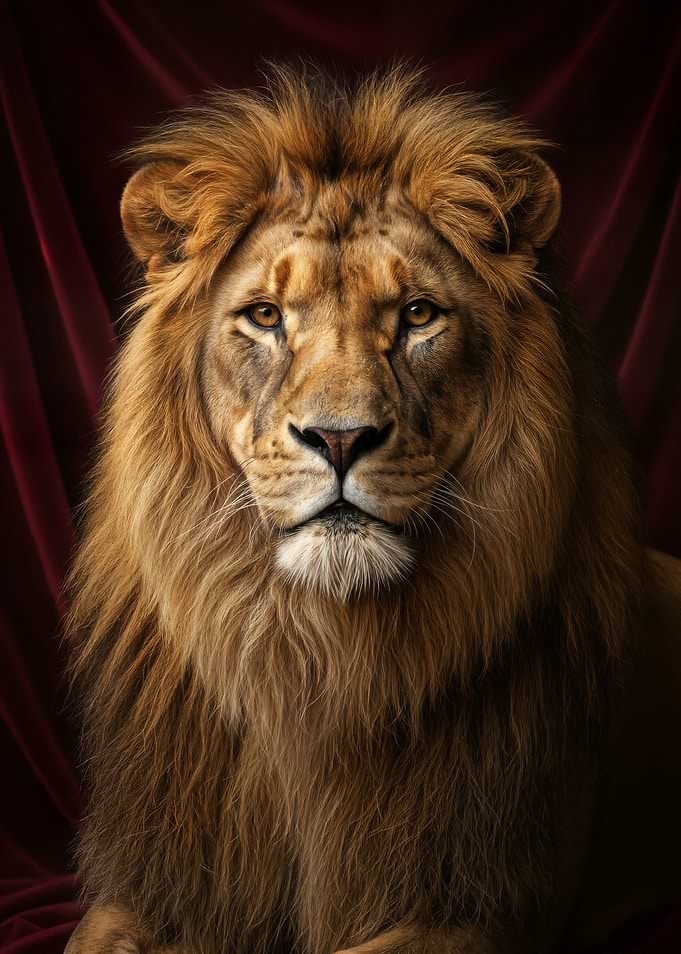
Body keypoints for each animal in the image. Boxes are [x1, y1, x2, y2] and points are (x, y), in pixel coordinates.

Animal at [63, 65, 677, 954]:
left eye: (417, 314)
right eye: (265, 316)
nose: (340, 437)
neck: (321, 656)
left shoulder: (485, 907)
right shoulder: (159, 886)